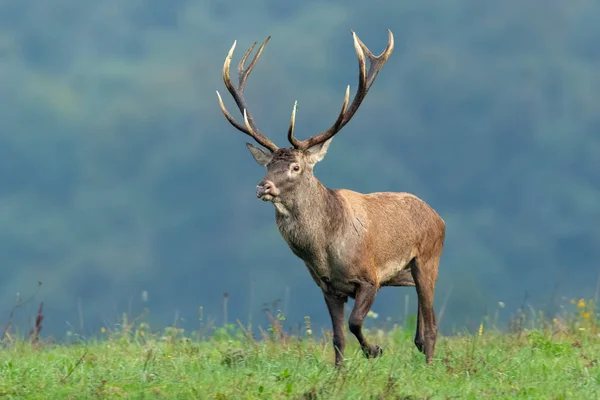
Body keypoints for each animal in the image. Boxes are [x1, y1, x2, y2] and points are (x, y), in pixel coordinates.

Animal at [216, 28, 446, 366]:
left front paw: (374, 350)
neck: (323, 251)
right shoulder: (328, 288)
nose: (262, 187)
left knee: (430, 327)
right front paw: (340, 372)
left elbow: (355, 323)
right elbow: (338, 338)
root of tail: (439, 218)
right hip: (408, 273)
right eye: (268, 165)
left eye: (296, 166)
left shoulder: (369, 278)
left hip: (428, 259)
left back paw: (429, 367)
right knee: (420, 329)